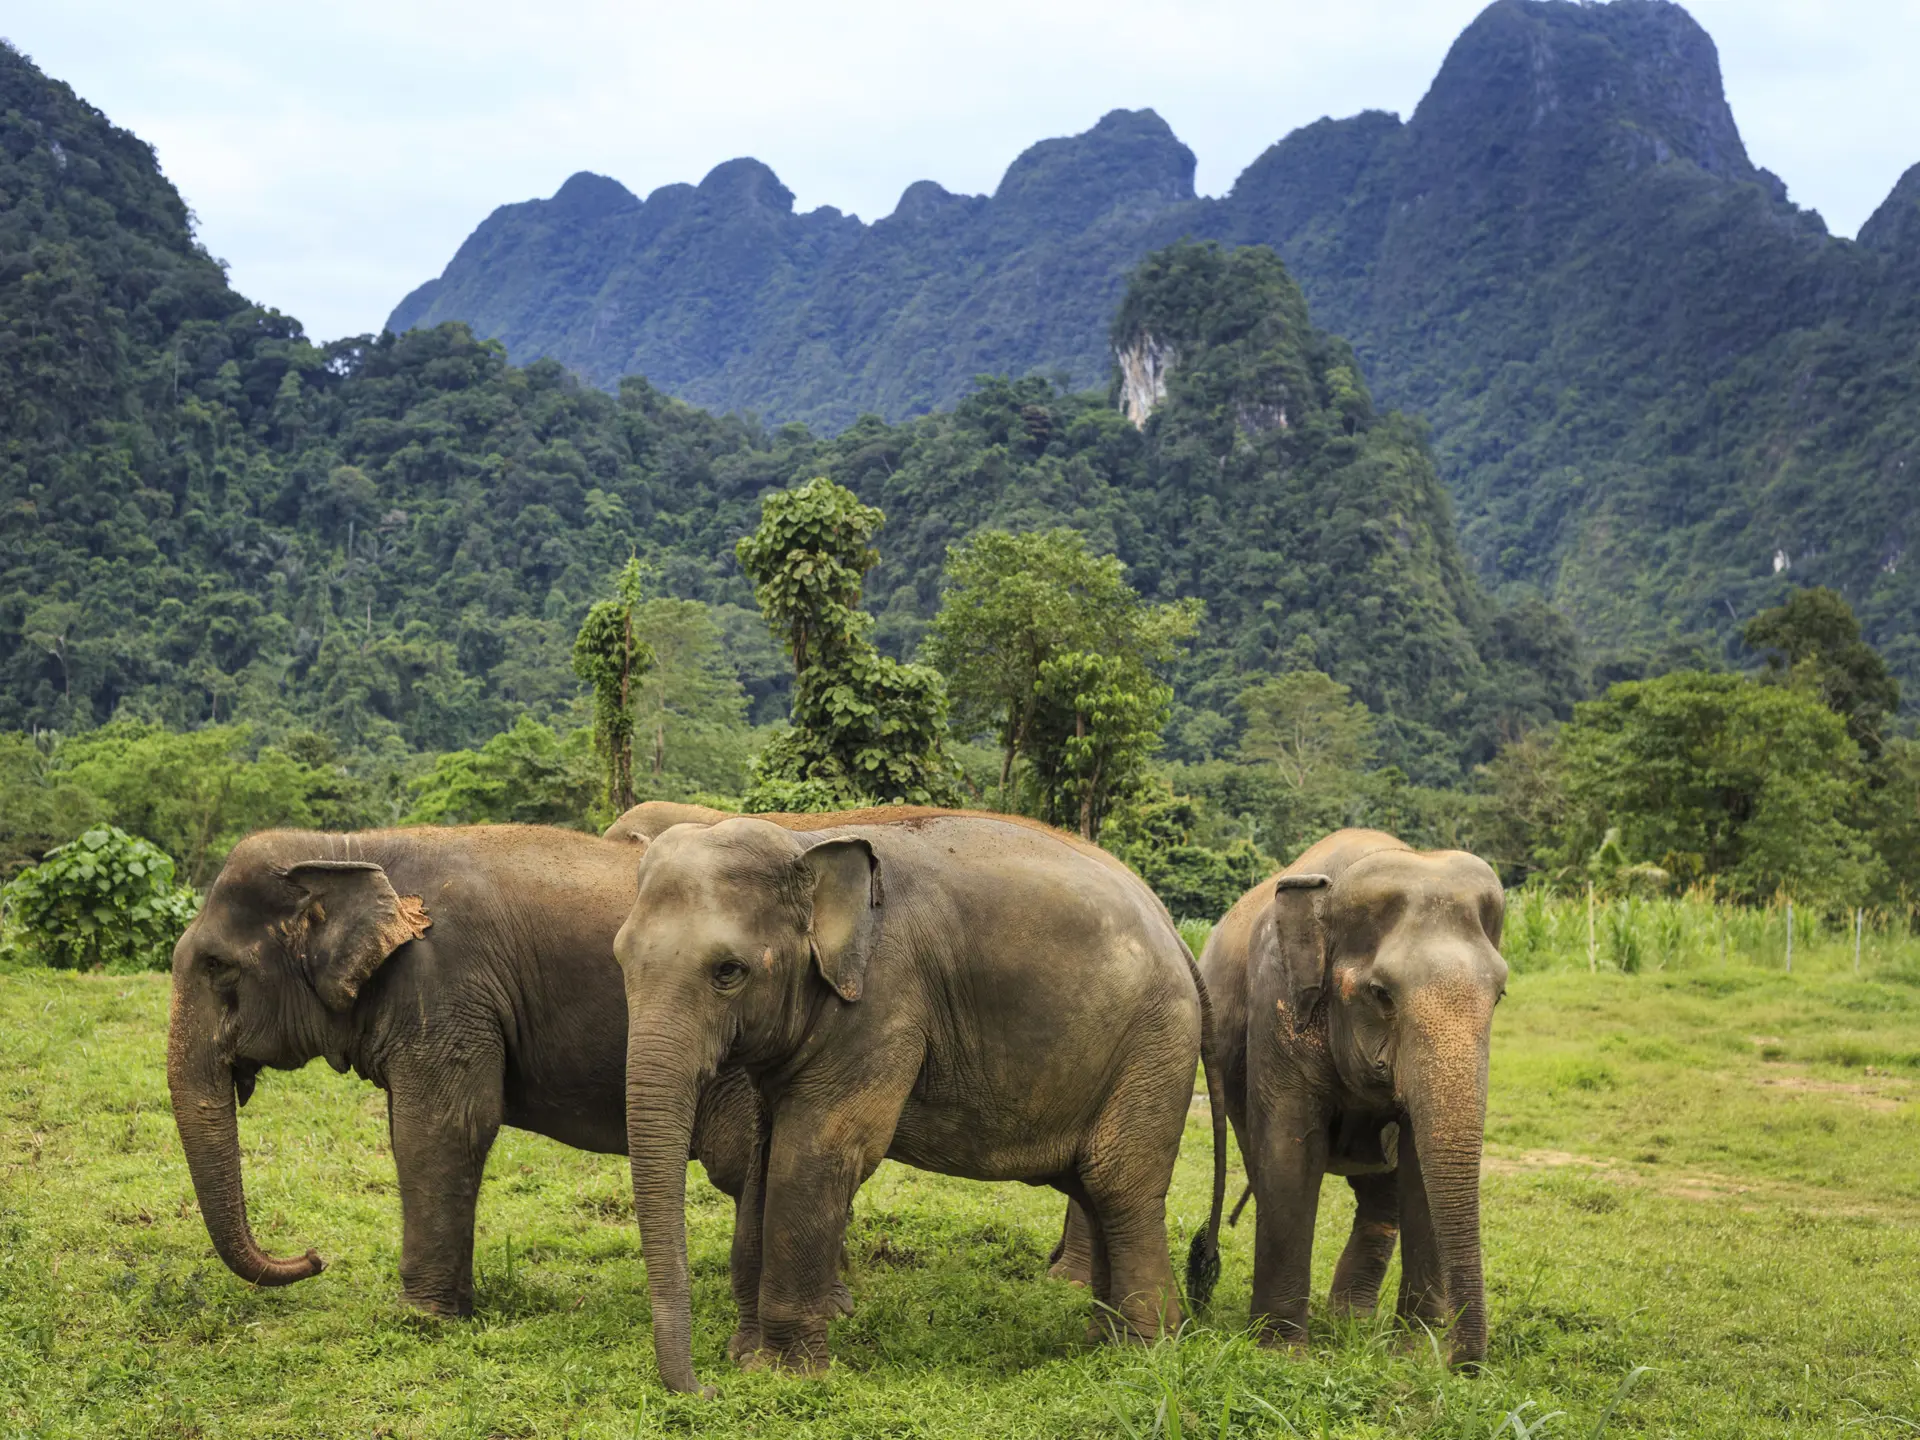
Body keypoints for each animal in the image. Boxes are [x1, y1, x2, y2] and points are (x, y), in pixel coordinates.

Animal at [165, 824, 767, 1318]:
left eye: (218, 966)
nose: (314, 1257)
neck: (346, 847)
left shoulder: (445, 984)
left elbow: (443, 1128)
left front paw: (422, 1318)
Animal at [614, 813, 1228, 1395]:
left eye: (728, 972)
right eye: (620, 959)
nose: (704, 1388)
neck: (805, 844)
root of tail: (1177, 938)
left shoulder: (883, 1004)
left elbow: (816, 1154)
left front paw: (781, 1375)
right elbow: (766, 1160)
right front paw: (746, 1357)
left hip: (1153, 1047)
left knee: (1120, 1187)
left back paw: (1143, 1351)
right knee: (1093, 1188)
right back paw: (1101, 1341)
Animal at [1194, 828, 1507, 1365]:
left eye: (1500, 995)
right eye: (1381, 994)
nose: (1462, 1367)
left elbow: (1420, 1166)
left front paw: (1412, 1351)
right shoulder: (1277, 1002)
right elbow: (1288, 1152)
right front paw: (1281, 1353)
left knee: (1380, 1194)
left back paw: (1351, 1321)